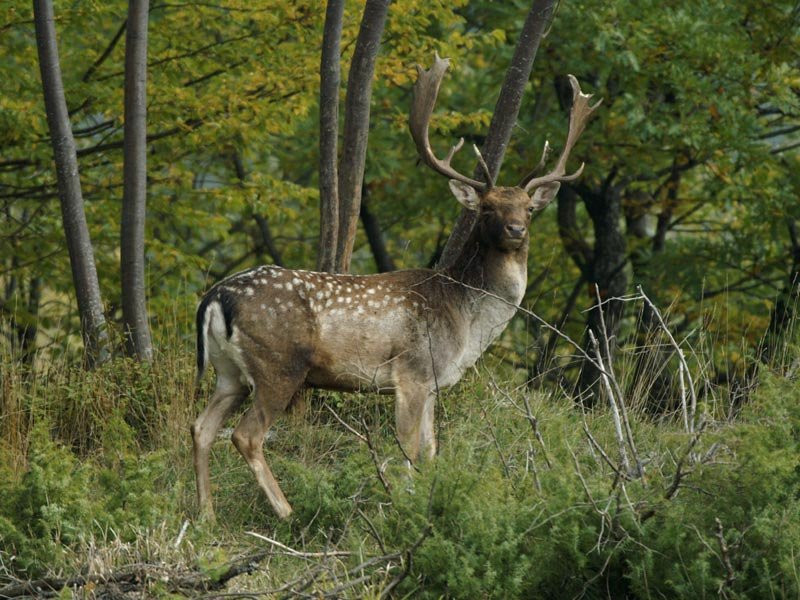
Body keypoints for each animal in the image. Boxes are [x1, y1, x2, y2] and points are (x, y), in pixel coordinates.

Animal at [191, 54, 596, 516]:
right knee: (246, 435)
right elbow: (408, 450)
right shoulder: (412, 372)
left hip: (229, 372)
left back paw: (206, 515)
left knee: (200, 428)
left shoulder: (436, 383)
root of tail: (215, 297)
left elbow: (432, 450)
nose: (515, 230)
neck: (466, 320)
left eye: (529, 208)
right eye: (488, 208)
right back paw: (287, 512)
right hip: (278, 366)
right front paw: (403, 506)